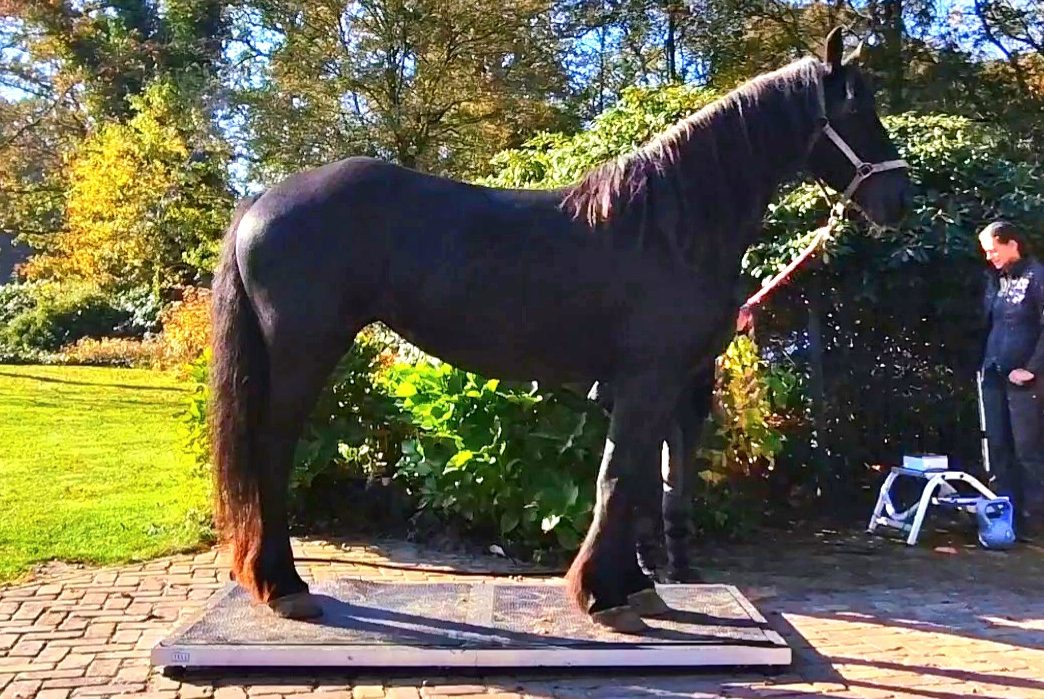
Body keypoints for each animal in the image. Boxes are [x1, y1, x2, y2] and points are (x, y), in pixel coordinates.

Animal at [209, 27, 911, 634]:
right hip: (306, 352)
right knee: (271, 452)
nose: (898, 201)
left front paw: (635, 587)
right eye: (855, 109)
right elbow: (618, 479)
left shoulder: (654, 385)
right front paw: (603, 597)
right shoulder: (647, 379)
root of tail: (262, 199)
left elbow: (637, 481)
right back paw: (285, 587)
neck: (669, 226)